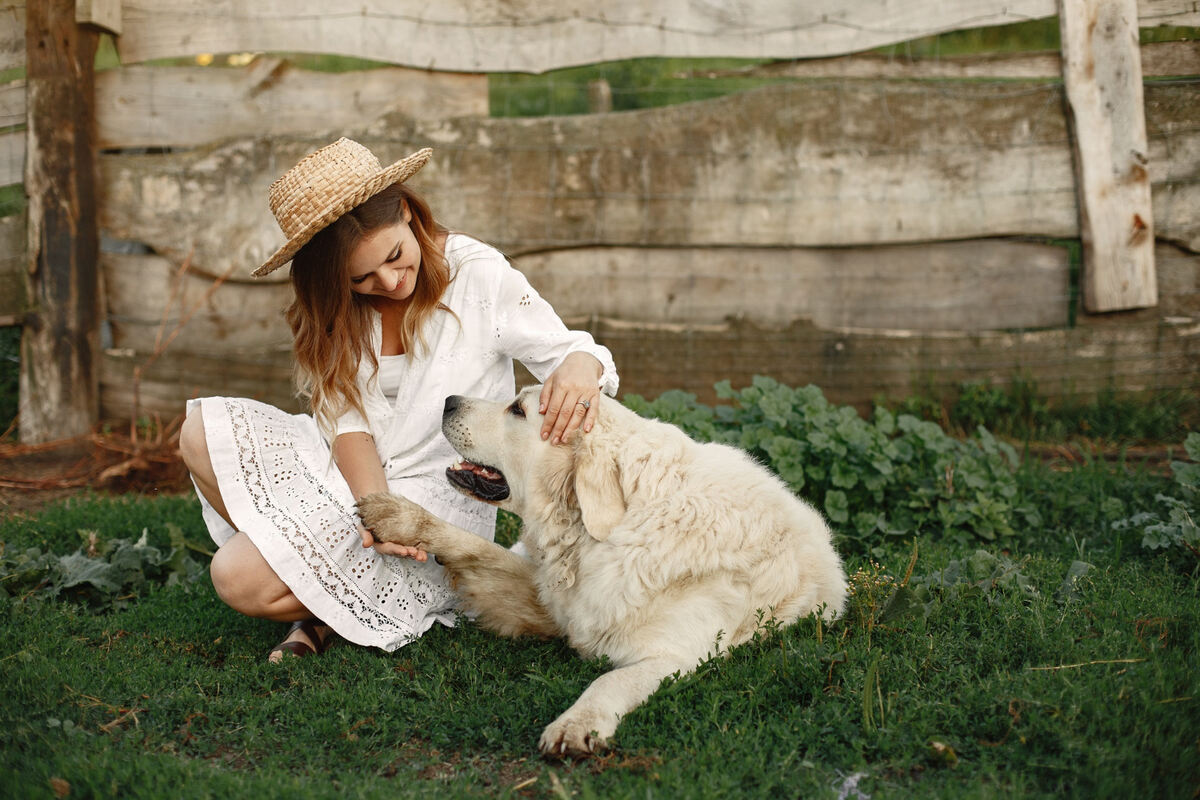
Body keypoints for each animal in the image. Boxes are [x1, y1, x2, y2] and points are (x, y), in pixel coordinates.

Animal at [355, 386, 844, 758]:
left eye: (518, 409)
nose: (449, 400)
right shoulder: (551, 600)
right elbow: (477, 548)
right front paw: (400, 518)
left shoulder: (676, 655)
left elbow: (611, 679)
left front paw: (575, 725)